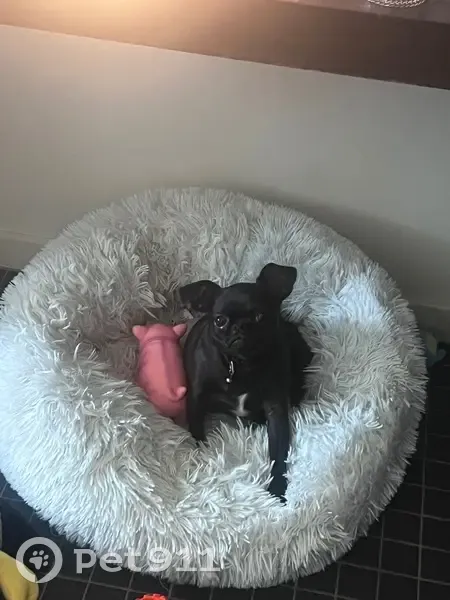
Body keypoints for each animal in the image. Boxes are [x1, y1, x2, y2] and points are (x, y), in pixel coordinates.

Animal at [179, 263, 312, 501]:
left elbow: (279, 453)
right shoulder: (196, 399)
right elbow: (197, 432)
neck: (241, 364)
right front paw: (203, 458)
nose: (240, 327)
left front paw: (277, 488)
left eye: (260, 315)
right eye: (219, 320)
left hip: (299, 350)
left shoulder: (276, 409)